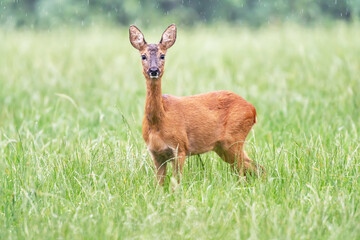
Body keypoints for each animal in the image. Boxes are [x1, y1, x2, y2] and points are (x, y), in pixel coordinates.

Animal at [129, 23, 264, 185]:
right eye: (143, 56)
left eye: (163, 55)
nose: (154, 70)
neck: (158, 123)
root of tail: (253, 109)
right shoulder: (156, 153)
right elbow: (159, 184)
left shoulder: (180, 147)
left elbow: (176, 182)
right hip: (223, 146)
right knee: (256, 167)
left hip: (234, 139)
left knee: (246, 171)